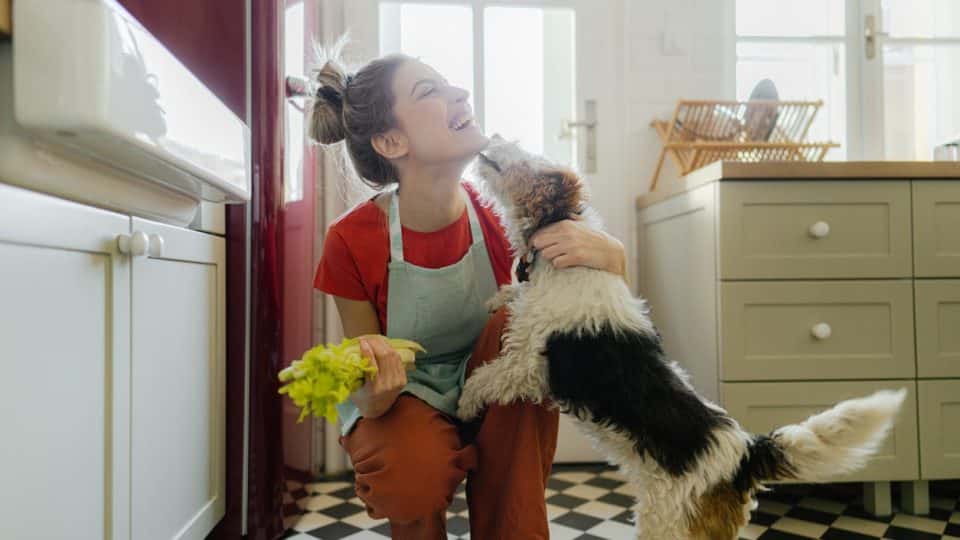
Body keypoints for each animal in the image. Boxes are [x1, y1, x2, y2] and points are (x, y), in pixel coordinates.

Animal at [458, 136, 908, 540]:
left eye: (528, 156)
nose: (493, 136)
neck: (563, 254)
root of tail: (745, 451)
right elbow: (512, 295)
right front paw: (499, 296)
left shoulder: (526, 364)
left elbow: (484, 378)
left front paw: (462, 405)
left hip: (670, 520)